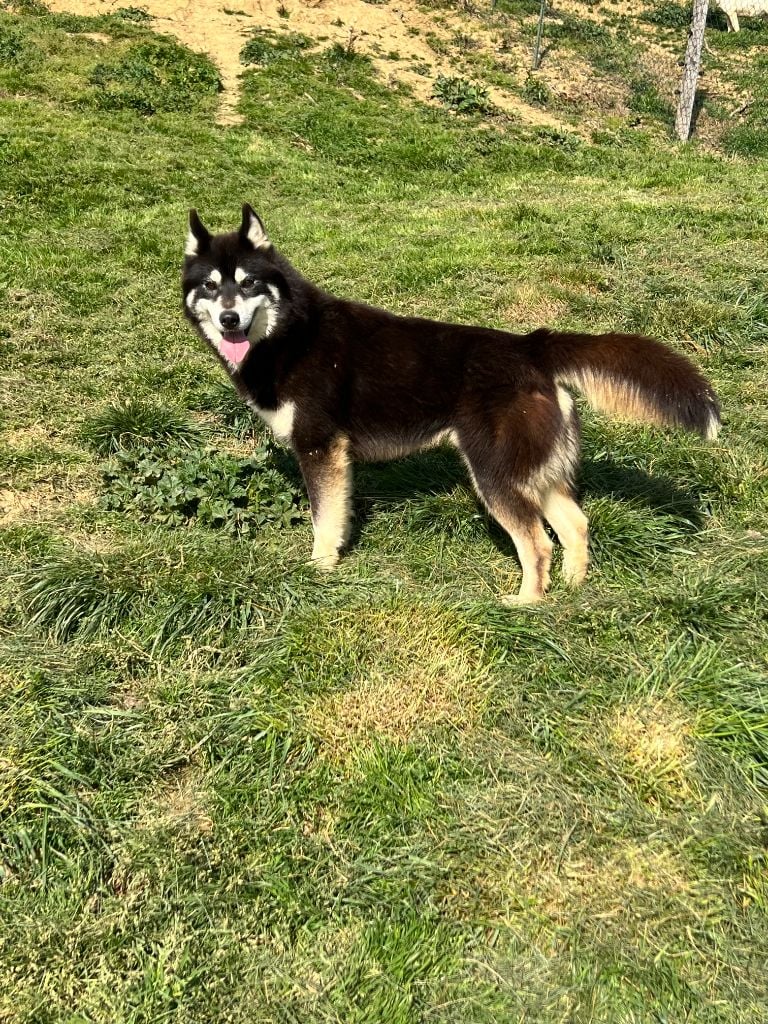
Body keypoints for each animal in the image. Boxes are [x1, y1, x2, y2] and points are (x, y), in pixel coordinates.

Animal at [183, 206, 724, 602]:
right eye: (209, 285)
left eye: (249, 283)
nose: (229, 320)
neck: (291, 334)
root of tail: (531, 345)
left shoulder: (321, 450)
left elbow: (325, 522)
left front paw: (320, 571)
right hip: (531, 470)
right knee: (575, 526)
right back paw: (571, 590)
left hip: (494, 473)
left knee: (536, 543)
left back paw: (525, 605)